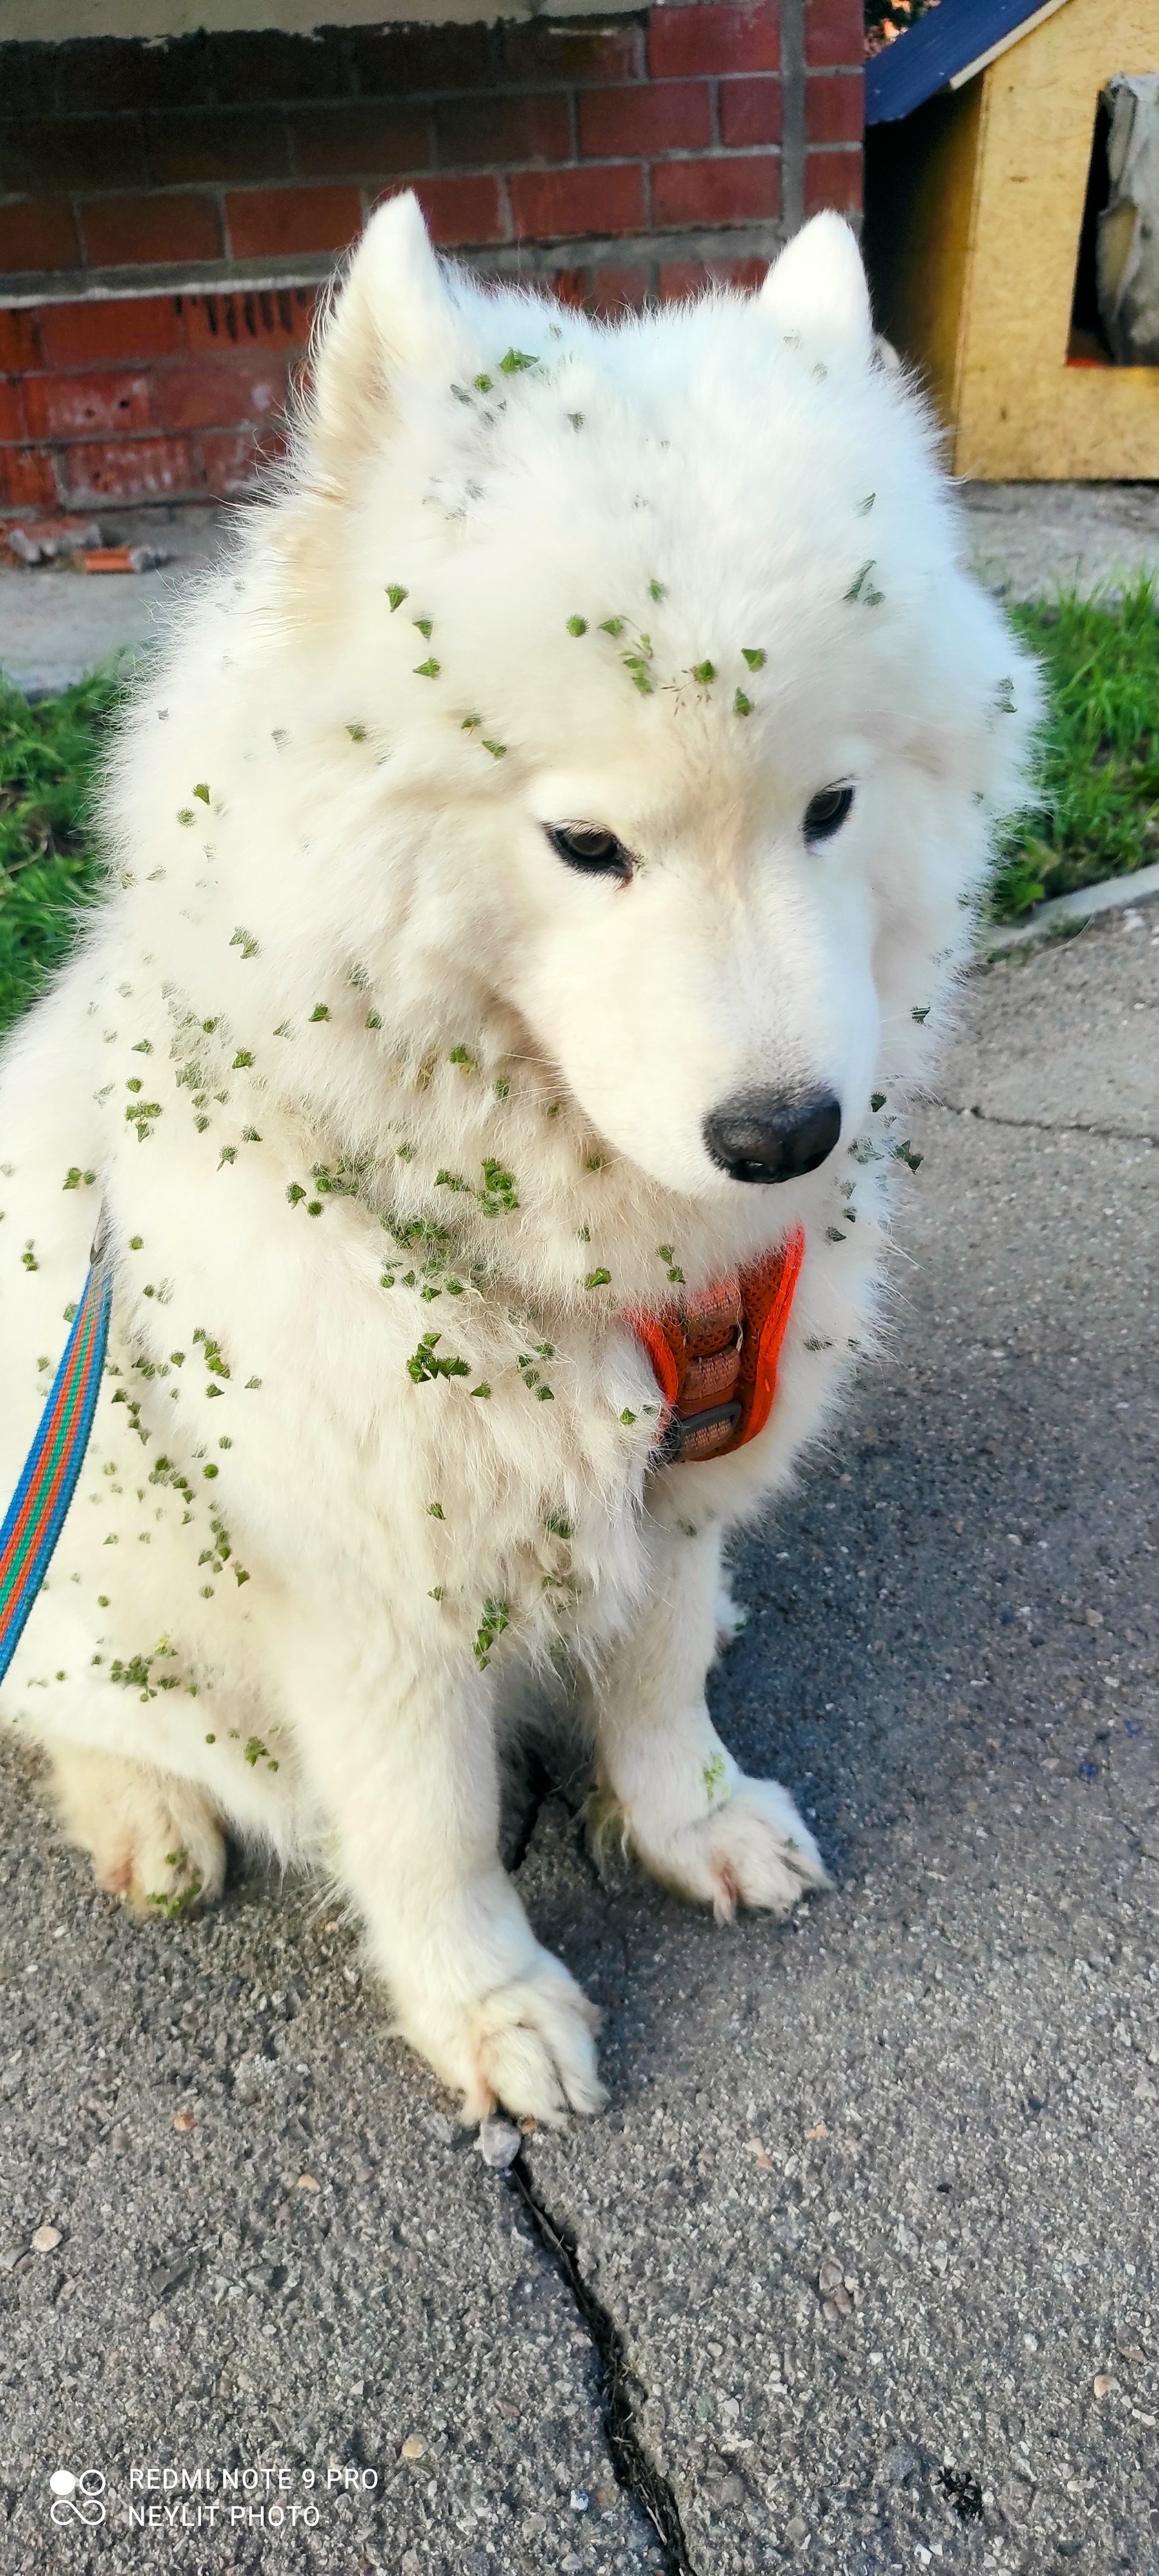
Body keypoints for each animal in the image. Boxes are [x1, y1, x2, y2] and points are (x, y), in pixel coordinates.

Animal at [0, 200, 1030, 2123]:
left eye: (830, 808)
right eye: (584, 842)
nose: (783, 1132)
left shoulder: (682, 1476)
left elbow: (653, 1681)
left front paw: (691, 1818)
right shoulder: (365, 1584)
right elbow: (430, 1824)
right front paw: (485, 2004)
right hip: (89, 1589)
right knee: (76, 1708)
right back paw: (149, 1812)